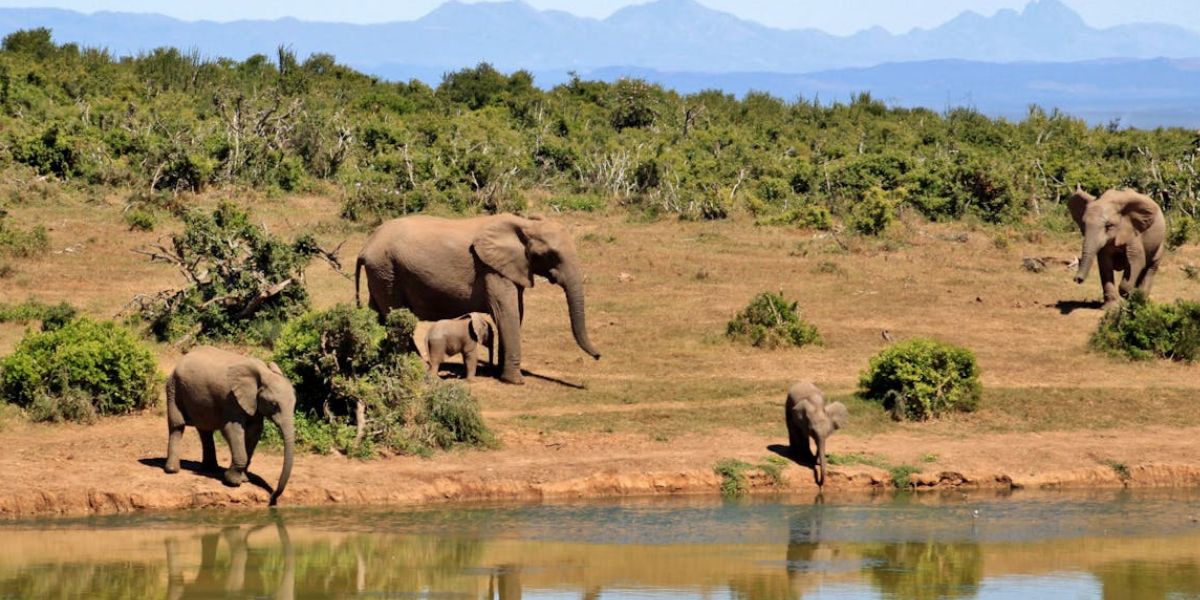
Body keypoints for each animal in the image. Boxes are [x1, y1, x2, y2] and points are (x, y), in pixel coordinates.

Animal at [165, 345, 296, 504]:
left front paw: (244, 479)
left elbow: (254, 431)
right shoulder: (232, 399)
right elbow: (232, 430)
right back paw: (172, 470)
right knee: (177, 426)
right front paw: (232, 482)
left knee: (205, 430)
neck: (263, 373)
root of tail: (182, 358)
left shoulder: (253, 403)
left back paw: (210, 469)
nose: (272, 498)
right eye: (274, 404)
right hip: (174, 388)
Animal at [352, 214, 600, 384]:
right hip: (387, 270)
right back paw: (416, 366)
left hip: (381, 273)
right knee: (395, 316)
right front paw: (515, 381)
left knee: (378, 314)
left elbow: (516, 313)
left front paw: (501, 373)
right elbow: (506, 313)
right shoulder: (491, 269)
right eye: (551, 255)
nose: (598, 356)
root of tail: (365, 246)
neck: (524, 224)